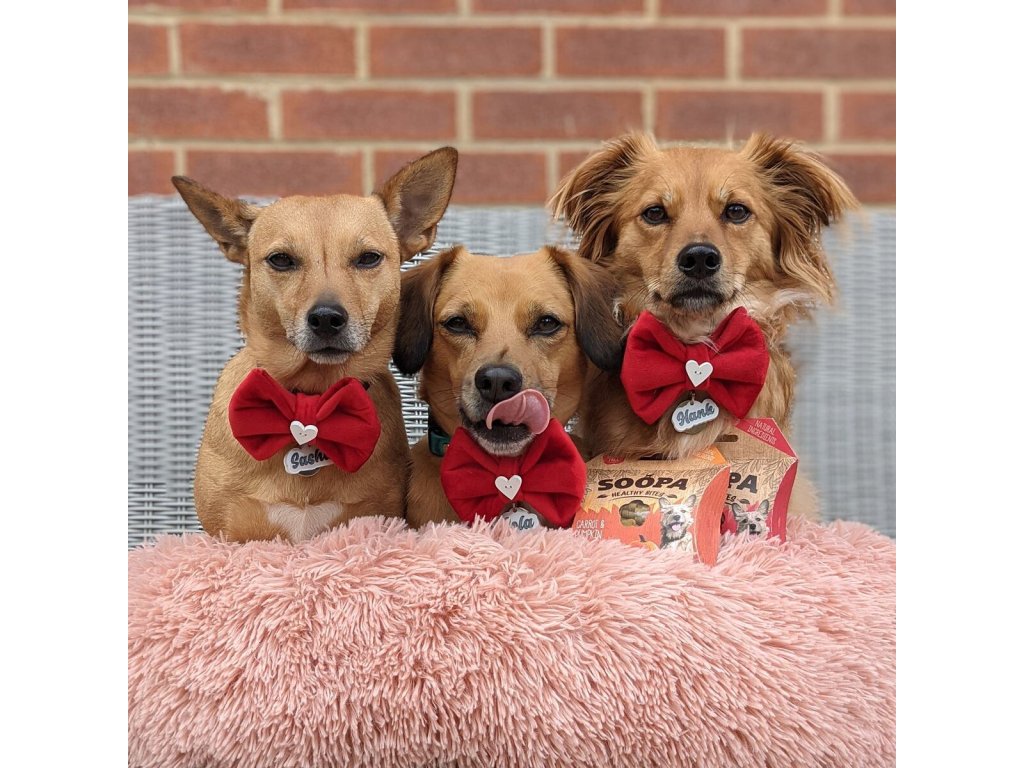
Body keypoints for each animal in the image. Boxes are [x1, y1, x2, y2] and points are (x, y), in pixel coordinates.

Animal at [172, 147, 458, 542]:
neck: (308, 401)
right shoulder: (229, 536)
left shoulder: (375, 518)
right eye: (281, 260)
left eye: (368, 258)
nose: (326, 318)